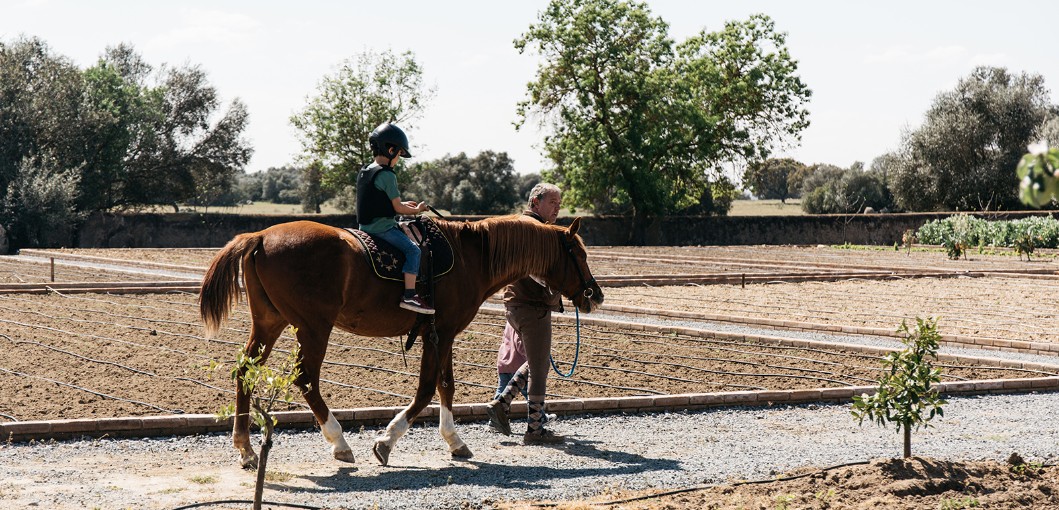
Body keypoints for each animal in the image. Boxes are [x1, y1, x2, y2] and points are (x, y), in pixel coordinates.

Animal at [199, 213, 605, 465]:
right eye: (579, 253)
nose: (596, 294)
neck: (471, 256)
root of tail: (261, 236)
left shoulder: (439, 334)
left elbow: (444, 386)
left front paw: (453, 441)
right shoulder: (441, 334)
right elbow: (428, 389)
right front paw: (388, 441)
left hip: (270, 324)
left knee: (244, 372)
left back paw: (245, 449)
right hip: (313, 329)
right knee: (306, 379)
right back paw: (339, 442)